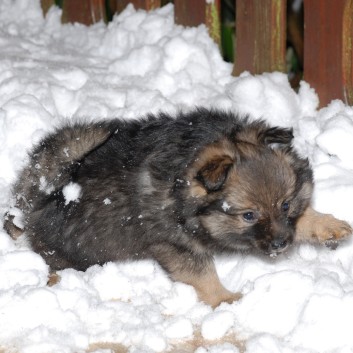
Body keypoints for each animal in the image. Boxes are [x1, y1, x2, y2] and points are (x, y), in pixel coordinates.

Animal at [4, 108, 350, 306]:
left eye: (286, 204)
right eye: (249, 216)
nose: (281, 244)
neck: (181, 182)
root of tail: (36, 198)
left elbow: (305, 218)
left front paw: (327, 225)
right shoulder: (175, 245)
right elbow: (203, 274)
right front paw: (225, 299)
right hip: (68, 252)